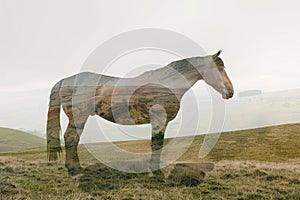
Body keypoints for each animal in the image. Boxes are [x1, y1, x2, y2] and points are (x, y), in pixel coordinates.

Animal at [46, 50, 234, 172]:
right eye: (218, 68)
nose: (230, 91)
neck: (167, 84)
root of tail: (65, 80)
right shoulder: (159, 120)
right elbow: (157, 143)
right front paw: (156, 170)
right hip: (79, 118)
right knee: (71, 138)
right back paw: (75, 168)